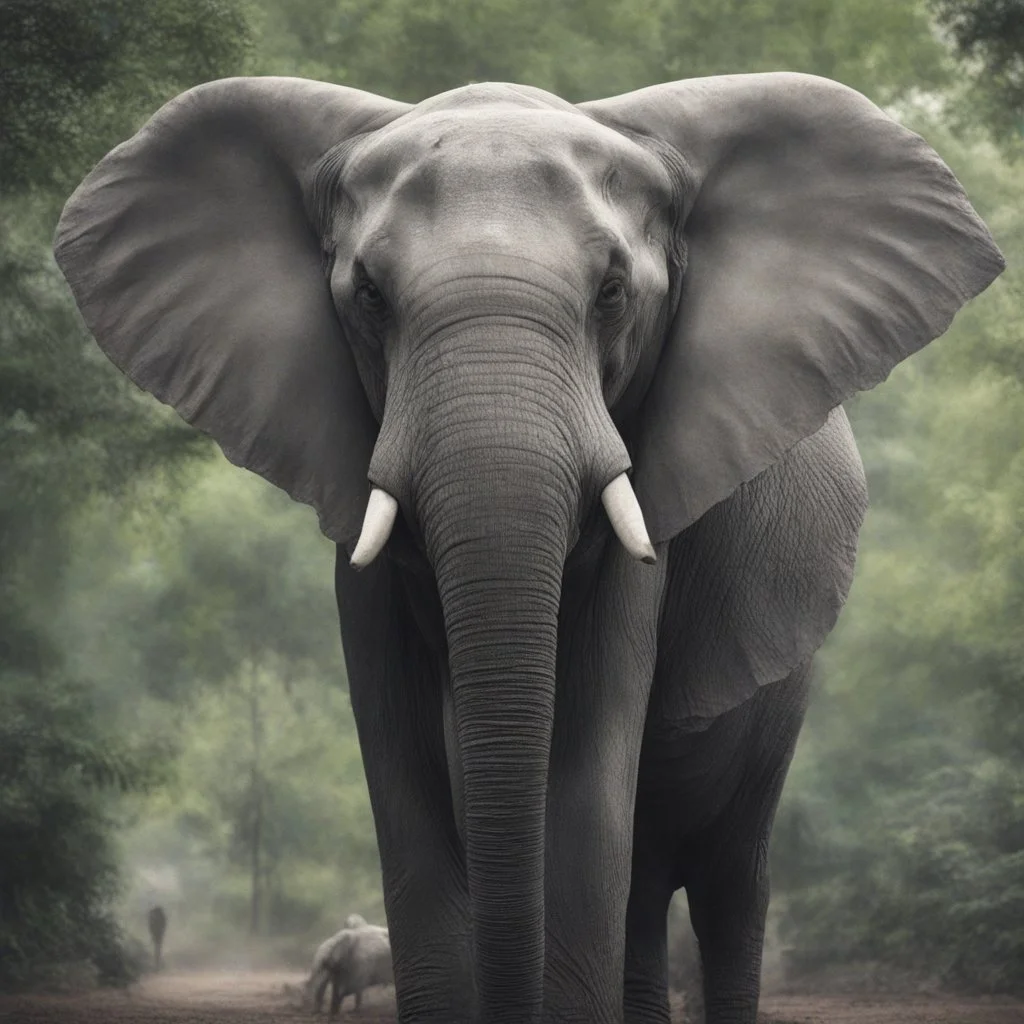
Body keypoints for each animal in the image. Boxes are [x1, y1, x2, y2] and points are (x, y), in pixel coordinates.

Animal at [53, 71, 1004, 1024]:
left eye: (613, 293)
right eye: (369, 295)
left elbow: (584, 787)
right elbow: (409, 790)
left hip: (781, 699)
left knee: (726, 877)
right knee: (645, 881)